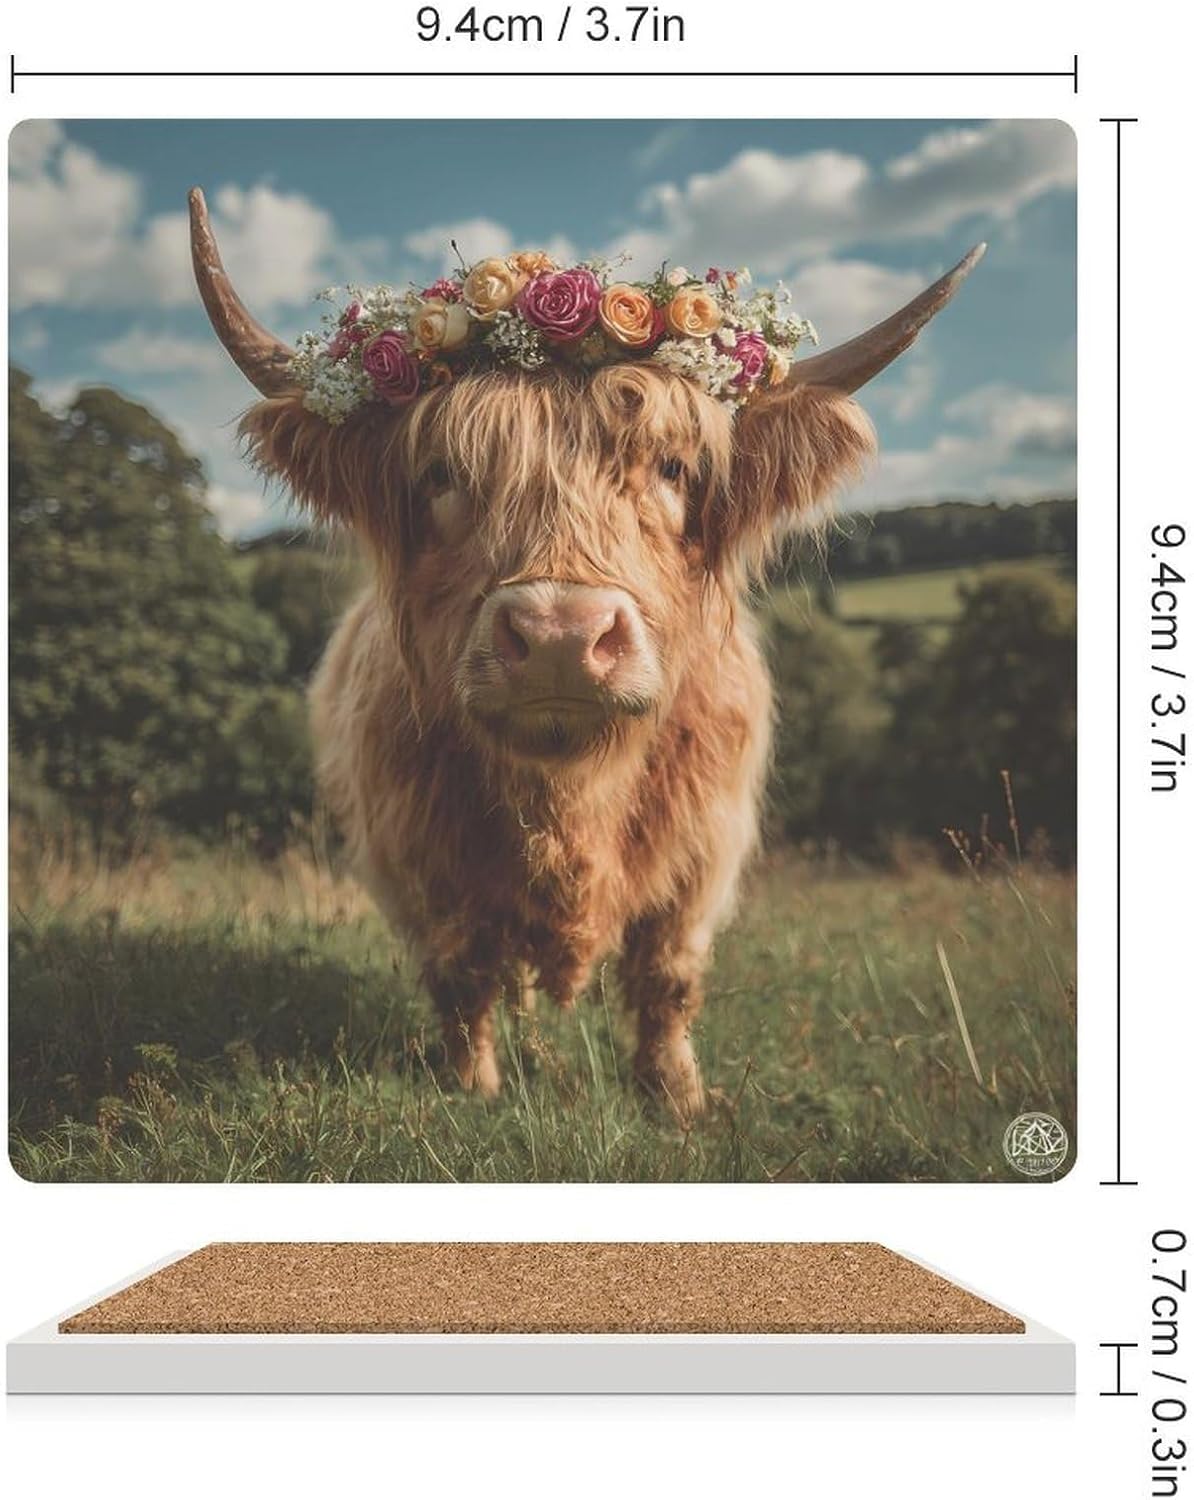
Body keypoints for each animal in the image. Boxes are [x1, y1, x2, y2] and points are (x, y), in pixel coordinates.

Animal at [189, 187, 982, 1121]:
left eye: (673, 467)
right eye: (441, 475)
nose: (561, 637)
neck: (570, 796)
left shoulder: (704, 852)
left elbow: (668, 976)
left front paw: (676, 1098)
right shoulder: (414, 853)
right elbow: (461, 972)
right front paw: (472, 1086)